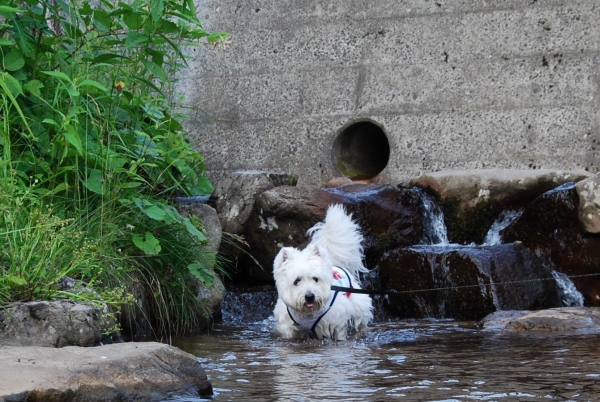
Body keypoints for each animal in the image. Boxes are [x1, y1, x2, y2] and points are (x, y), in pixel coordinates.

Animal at [274, 204, 372, 340]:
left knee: (361, 320)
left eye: (316, 279)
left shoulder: (337, 319)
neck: (308, 313)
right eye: (296, 281)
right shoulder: (287, 324)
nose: (310, 296)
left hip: (358, 303)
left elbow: (340, 333)